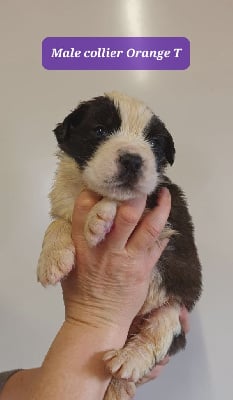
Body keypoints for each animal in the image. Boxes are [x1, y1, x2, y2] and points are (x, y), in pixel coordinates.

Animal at [36, 92, 202, 400]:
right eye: (100, 130)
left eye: (154, 144)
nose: (133, 160)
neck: (89, 190)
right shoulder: (65, 204)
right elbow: (57, 224)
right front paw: (52, 260)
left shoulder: (159, 200)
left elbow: (128, 198)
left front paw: (101, 217)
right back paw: (118, 385)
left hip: (174, 306)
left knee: (157, 334)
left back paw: (127, 364)